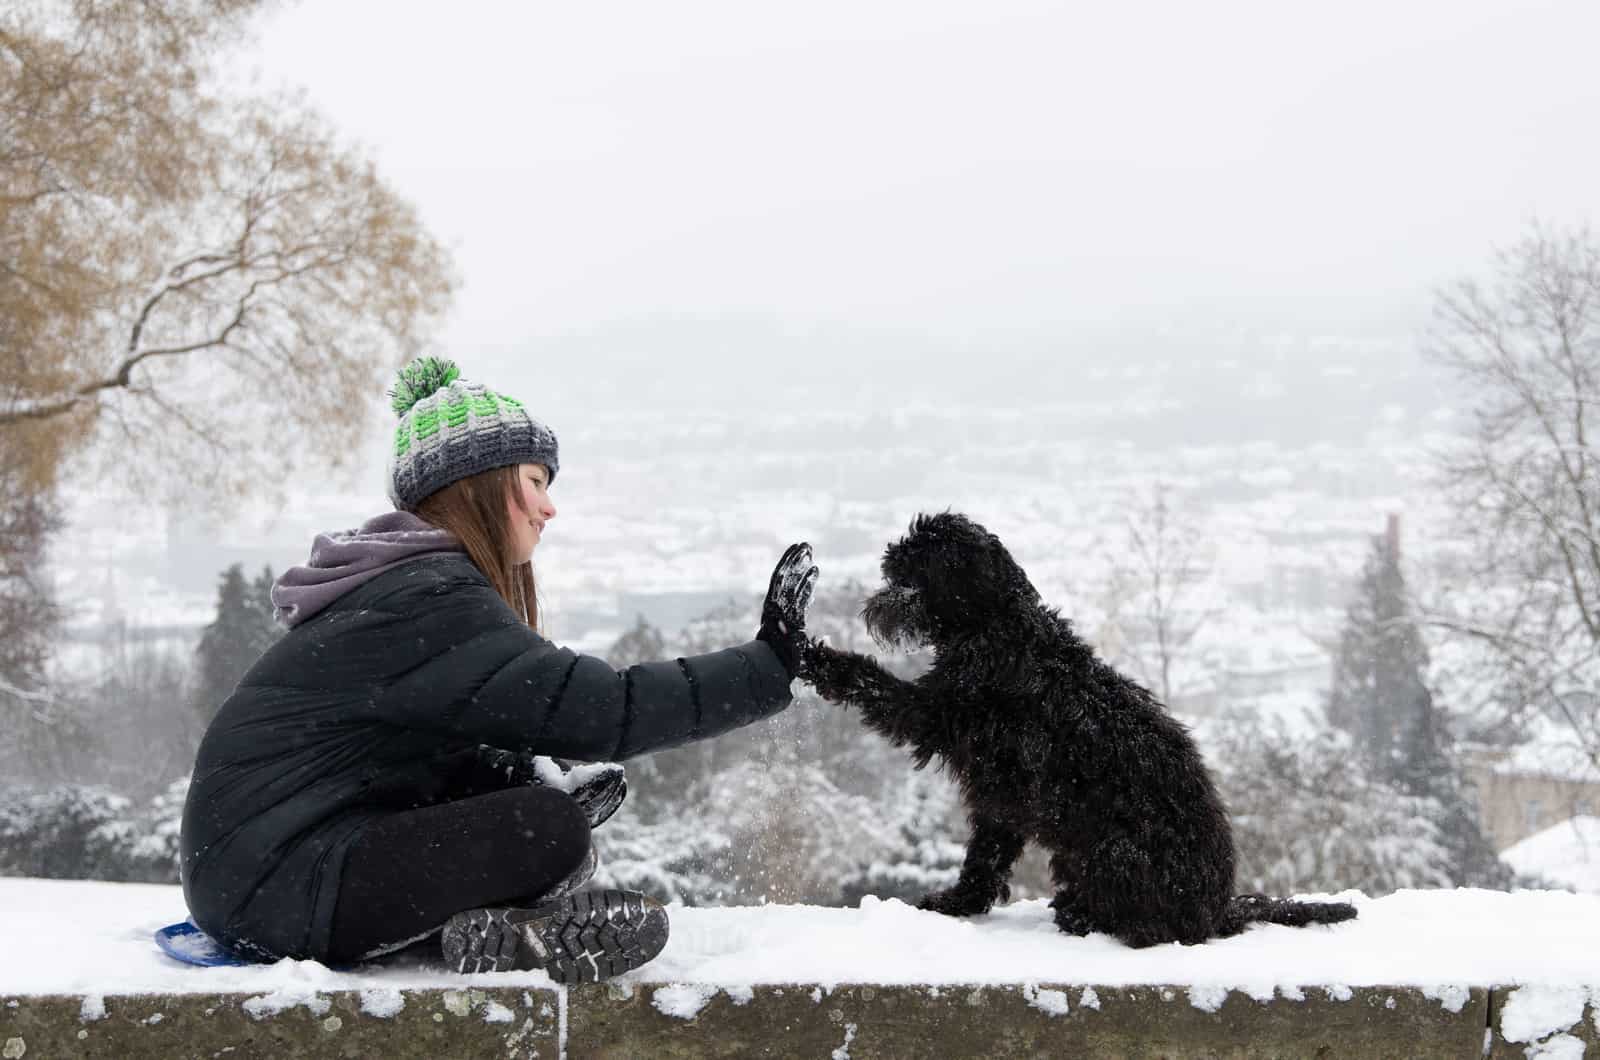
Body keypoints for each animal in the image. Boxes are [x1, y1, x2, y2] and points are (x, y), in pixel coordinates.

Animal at [806, 512, 1356, 947]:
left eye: (912, 574)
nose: (875, 604)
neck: (999, 625)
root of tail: (1219, 907)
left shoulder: (940, 716)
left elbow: (877, 686)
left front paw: (817, 657)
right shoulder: (999, 793)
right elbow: (986, 855)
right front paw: (959, 902)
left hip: (1115, 850)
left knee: (1152, 928)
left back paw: (1085, 918)